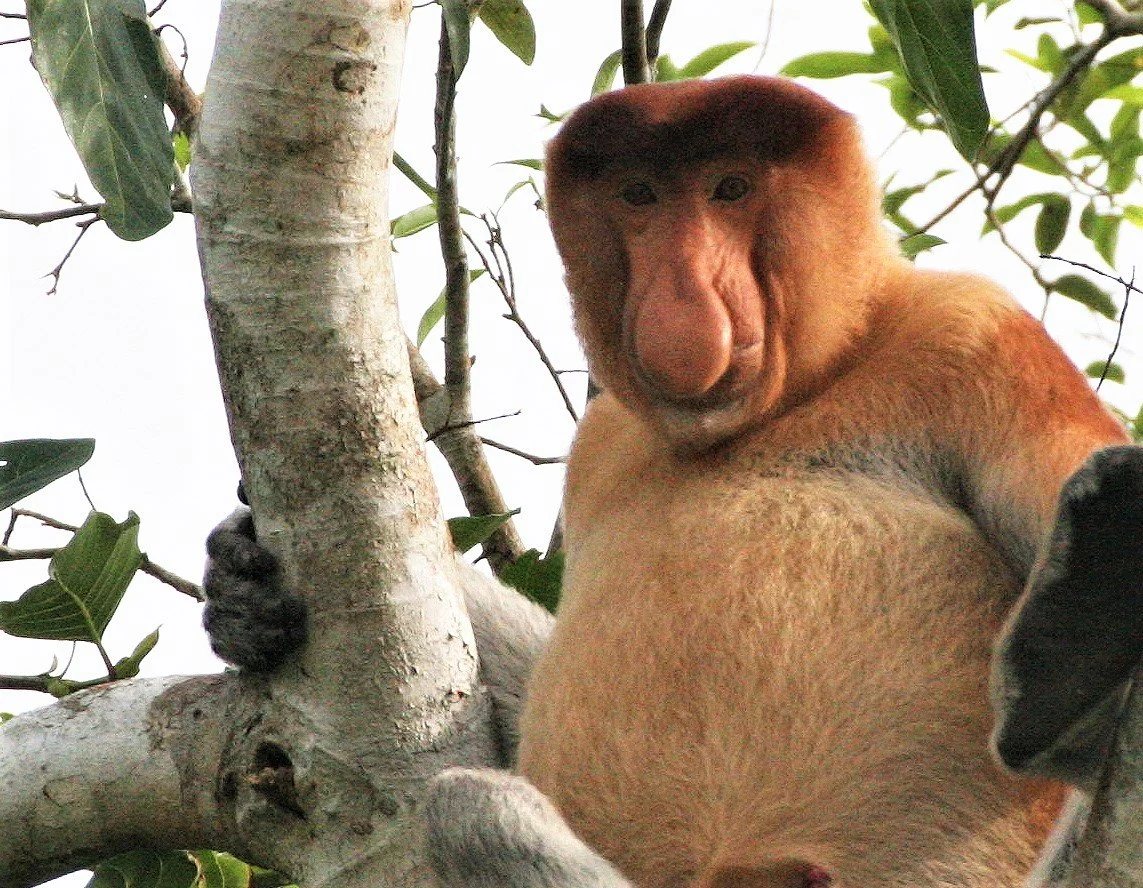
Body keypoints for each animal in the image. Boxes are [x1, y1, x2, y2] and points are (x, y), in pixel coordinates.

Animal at [203, 75, 1142, 888]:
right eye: (639, 196)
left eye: (729, 188)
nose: (683, 287)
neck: (795, 394)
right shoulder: (604, 440)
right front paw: (243, 586)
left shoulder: (978, 341)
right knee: (473, 805)